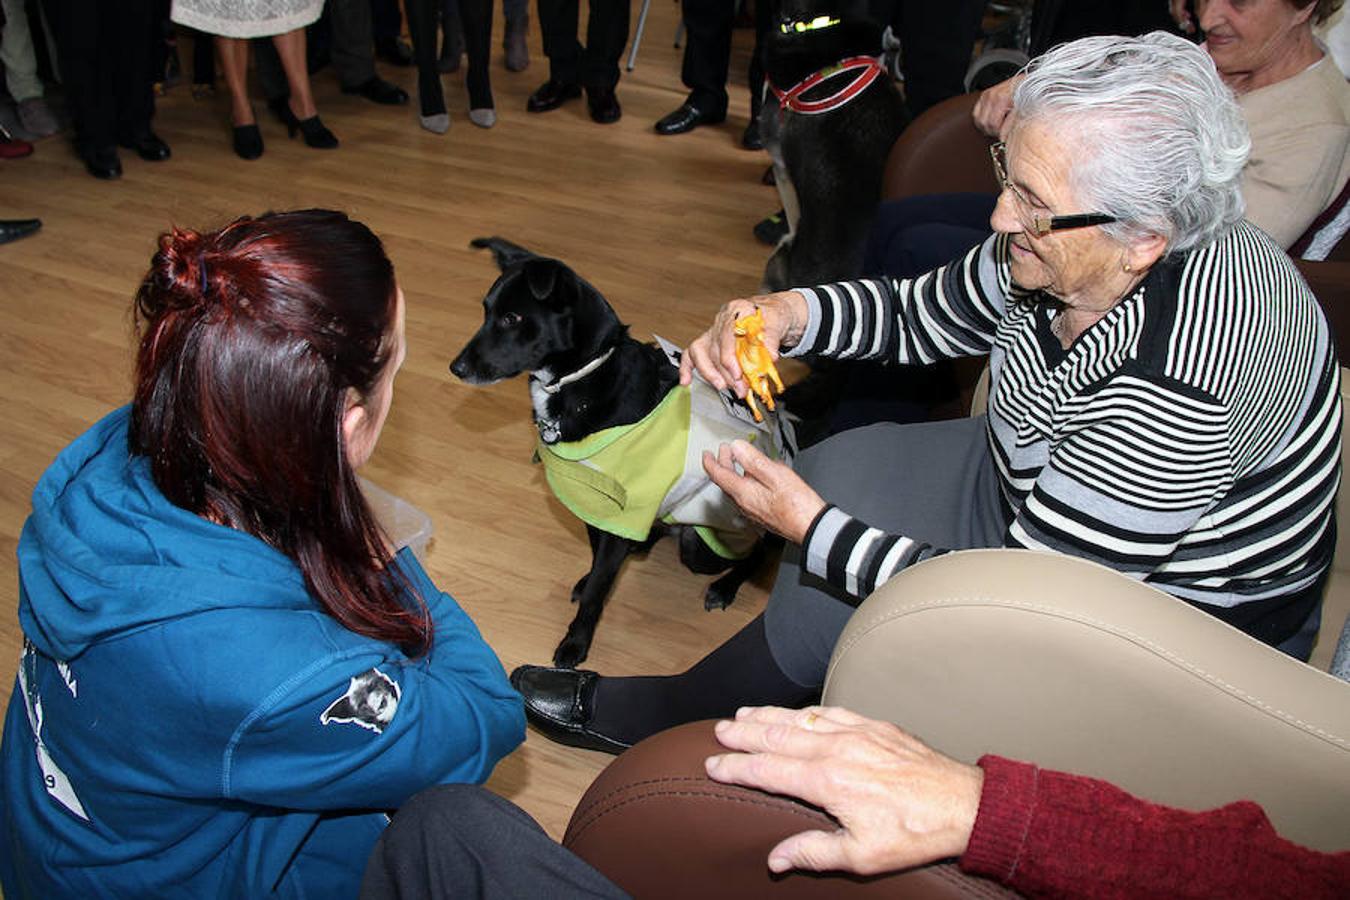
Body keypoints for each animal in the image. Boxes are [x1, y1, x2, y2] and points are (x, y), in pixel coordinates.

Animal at [453, 238, 788, 669]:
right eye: (486, 311)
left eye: (512, 318)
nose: (456, 367)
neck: (582, 378)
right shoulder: (598, 505)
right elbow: (598, 562)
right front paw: (590, 579)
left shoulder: (622, 511)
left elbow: (599, 588)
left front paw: (576, 641)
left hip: (702, 545)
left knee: (761, 549)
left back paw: (727, 585)